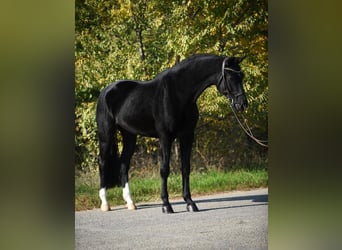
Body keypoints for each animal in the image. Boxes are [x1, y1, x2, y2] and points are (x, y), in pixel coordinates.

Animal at [95, 53, 247, 213]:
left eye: (241, 75)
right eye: (230, 77)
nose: (243, 104)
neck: (178, 94)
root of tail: (105, 91)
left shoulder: (187, 136)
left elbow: (185, 168)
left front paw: (190, 203)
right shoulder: (165, 137)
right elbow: (164, 169)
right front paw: (166, 205)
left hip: (129, 135)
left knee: (124, 164)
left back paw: (130, 203)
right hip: (106, 134)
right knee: (103, 162)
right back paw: (105, 204)